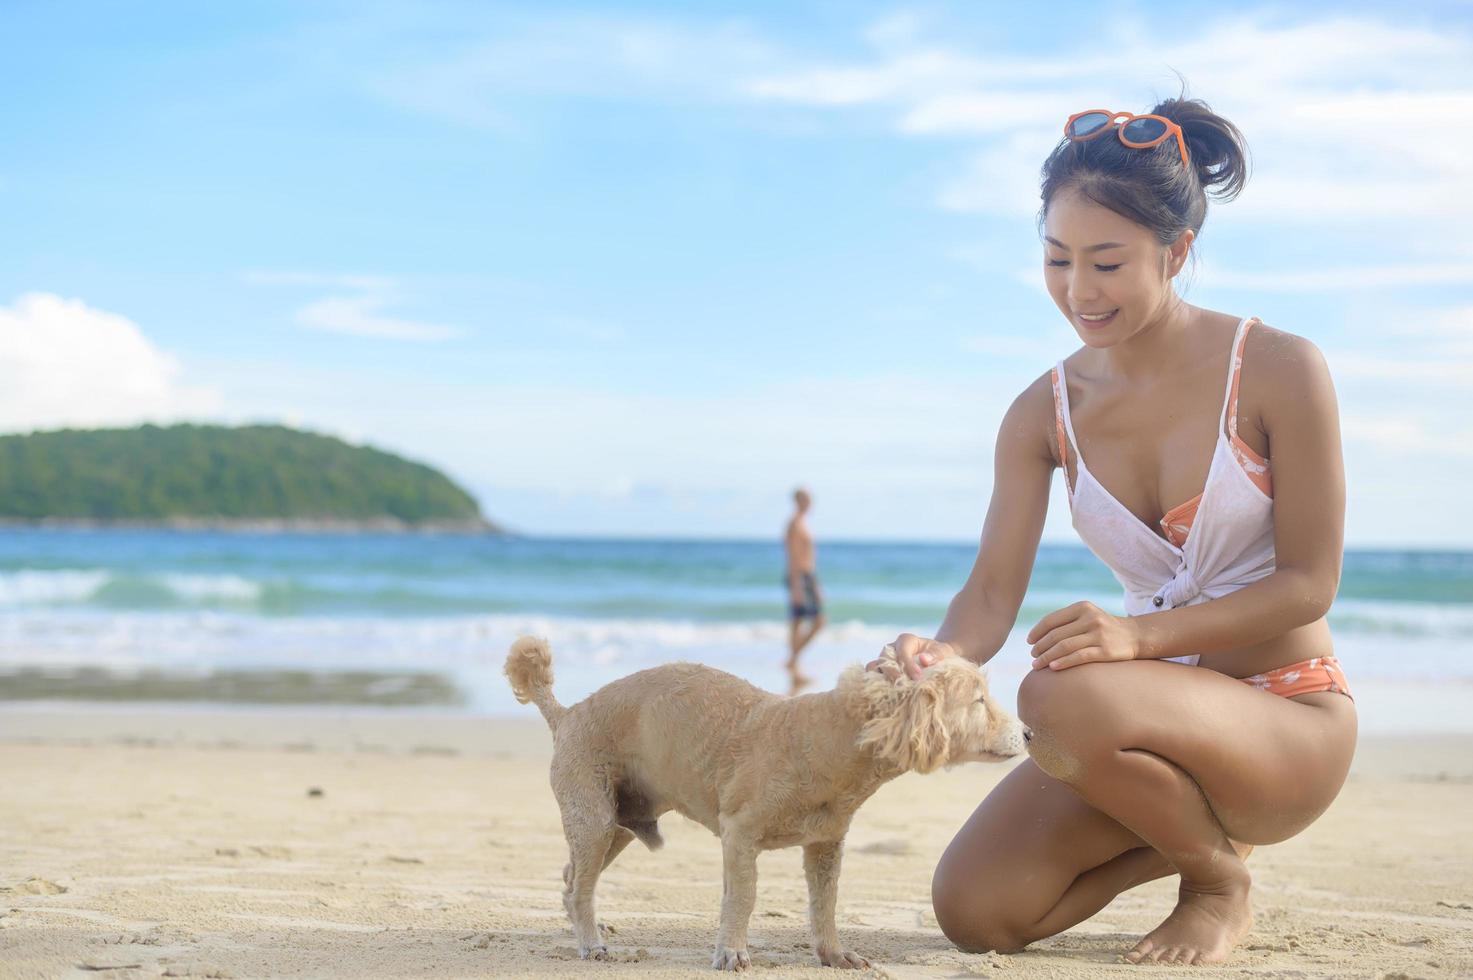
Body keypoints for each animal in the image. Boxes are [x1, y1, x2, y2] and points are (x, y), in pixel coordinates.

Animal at [503, 633, 1025, 972]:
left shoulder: (825, 846)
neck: (829, 739)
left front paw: (833, 954)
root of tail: (566, 713)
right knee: (580, 885)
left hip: (618, 826)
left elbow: (825, 904)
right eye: (979, 700)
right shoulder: (739, 834)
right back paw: (591, 944)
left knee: (572, 879)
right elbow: (744, 897)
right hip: (593, 817)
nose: (1029, 733)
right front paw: (732, 952)